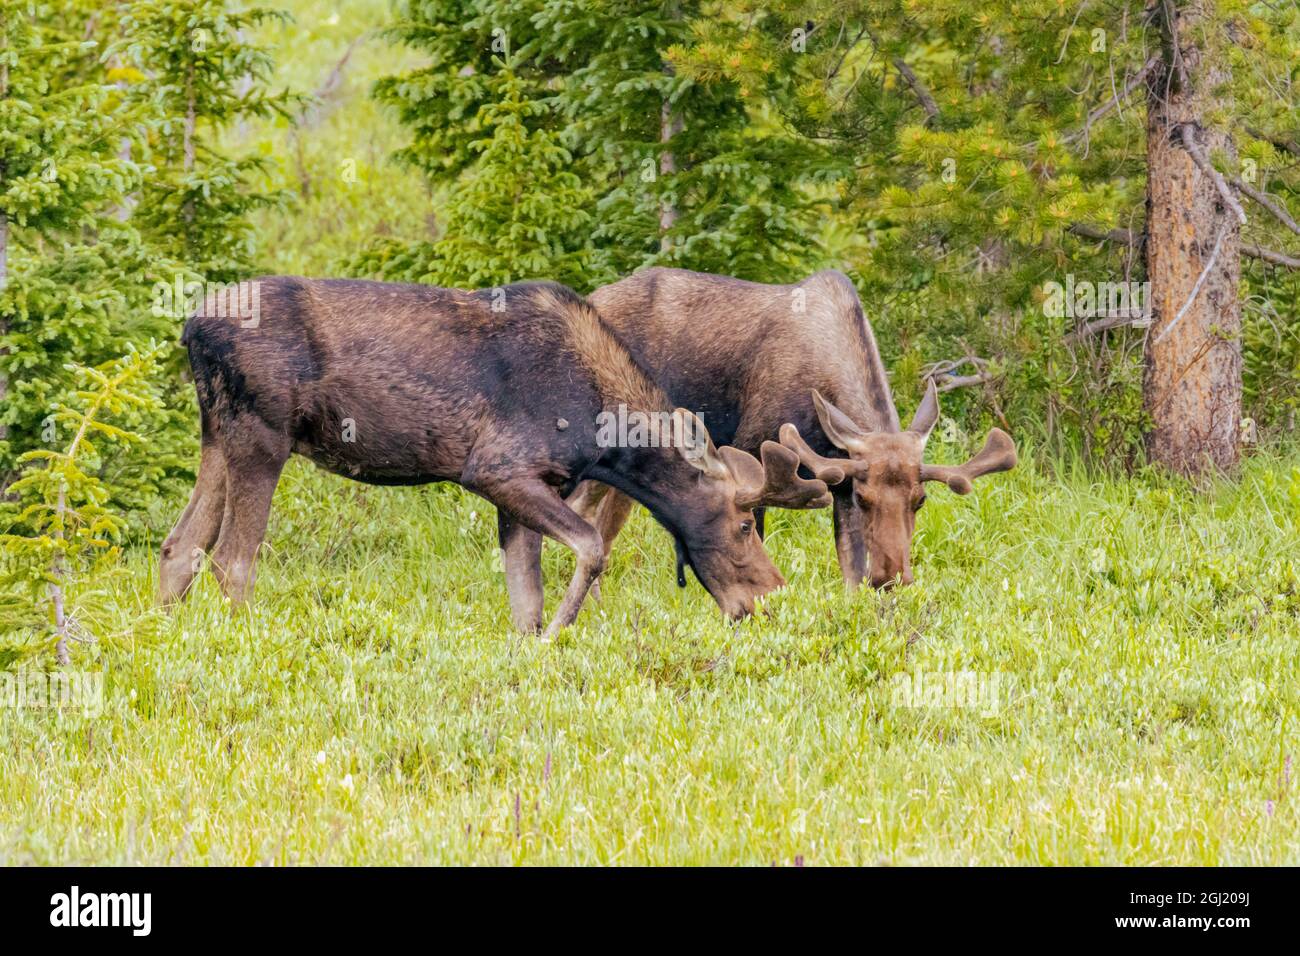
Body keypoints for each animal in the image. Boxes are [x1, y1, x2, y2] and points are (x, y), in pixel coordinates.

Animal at [157, 276, 836, 638]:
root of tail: (190, 329)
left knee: (179, 545)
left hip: (217, 434)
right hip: (262, 437)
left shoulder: (522, 492)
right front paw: (560, 634)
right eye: (744, 524)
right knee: (232, 560)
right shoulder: (497, 469)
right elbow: (591, 548)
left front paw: (534, 643)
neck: (607, 438)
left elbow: (524, 600)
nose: (772, 597)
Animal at [572, 267, 1018, 590]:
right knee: (588, 514)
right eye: (867, 498)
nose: (893, 577)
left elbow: (850, 571)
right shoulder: (754, 452)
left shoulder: (839, 480)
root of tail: (593, 297)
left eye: (920, 500)